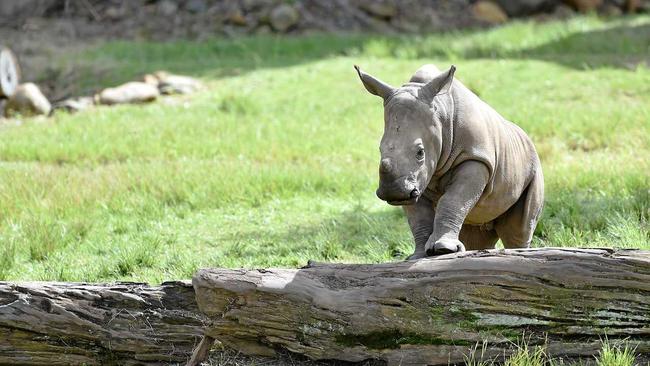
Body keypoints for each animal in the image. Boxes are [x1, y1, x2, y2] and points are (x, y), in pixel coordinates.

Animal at [354, 63, 540, 258]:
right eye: (380, 149)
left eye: (420, 152)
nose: (393, 192)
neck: (441, 113)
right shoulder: (418, 179)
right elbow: (418, 217)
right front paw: (419, 255)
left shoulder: (475, 157)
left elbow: (453, 200)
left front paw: (443, 249)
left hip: (531, 166)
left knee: (518, 229)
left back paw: (519, 253)